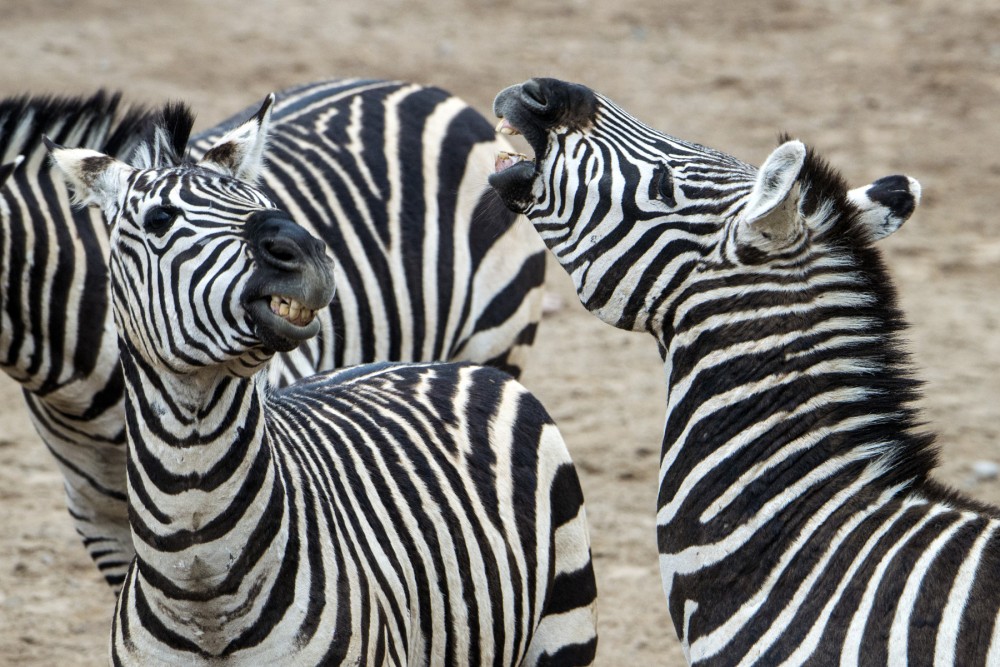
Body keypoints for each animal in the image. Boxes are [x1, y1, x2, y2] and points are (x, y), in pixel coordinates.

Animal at [46, 94, 598, 666]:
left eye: (263, 200)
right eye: (160, 218)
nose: (306, 251)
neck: (202, 586)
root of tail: (443, 364)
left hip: (564, 620)